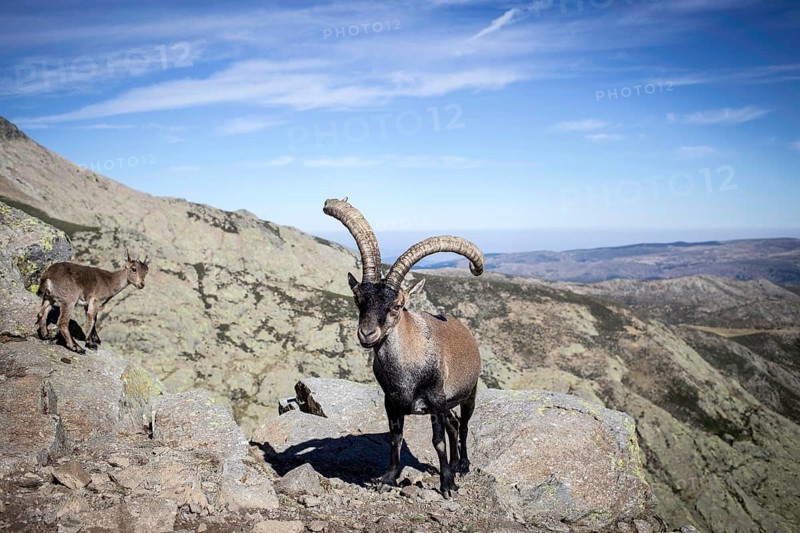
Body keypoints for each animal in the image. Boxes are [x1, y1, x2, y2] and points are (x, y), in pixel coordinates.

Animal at [324, 198, 484, 499]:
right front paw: (388, 479)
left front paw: (446, 485)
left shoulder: (435, 399)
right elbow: (395, 438)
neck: (407, 370)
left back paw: (463, 466)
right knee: (454, 425)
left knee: (464, 425)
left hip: (468, 393)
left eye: (397, 305)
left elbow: (437, 441)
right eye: (358, 299)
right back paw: (455, 465)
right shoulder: (392, 401)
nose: (367, 334)